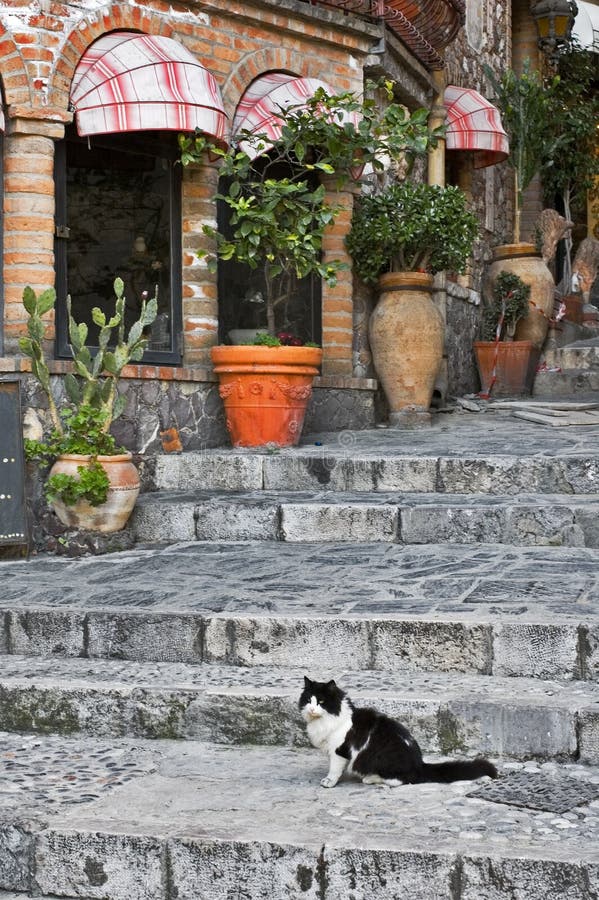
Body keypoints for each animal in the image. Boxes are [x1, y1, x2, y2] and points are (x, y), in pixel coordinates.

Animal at [298, 676, 496, 788]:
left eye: (321, 702)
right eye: (308, 700)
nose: (312, 709)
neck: (326, 720)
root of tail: (419, 764)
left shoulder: (339, 750)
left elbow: (334, 769)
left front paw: (329, 782)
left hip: (383, 760)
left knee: (401, 781)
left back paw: (370, 779)